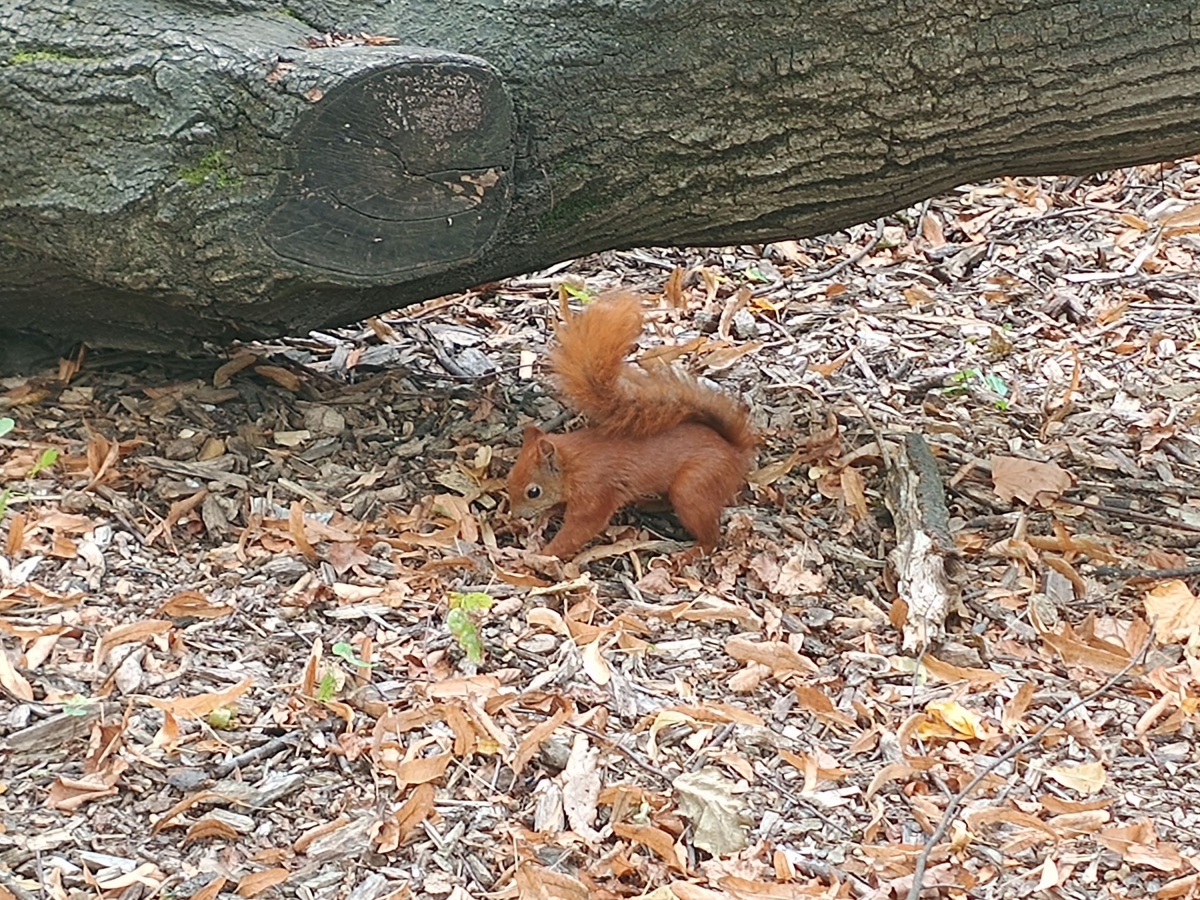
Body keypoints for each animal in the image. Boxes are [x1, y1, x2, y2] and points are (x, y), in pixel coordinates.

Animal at [506, 291, 756, 558]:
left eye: (533, 492)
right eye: (509, 477)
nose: (515, 516)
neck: (572, 464)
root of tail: (735, 452)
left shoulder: (595, 491)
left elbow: (580, 528)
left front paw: (544, 553)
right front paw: (542, 520)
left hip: (694, 487)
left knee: (711, 537)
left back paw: (690, 553)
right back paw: (648, 503)